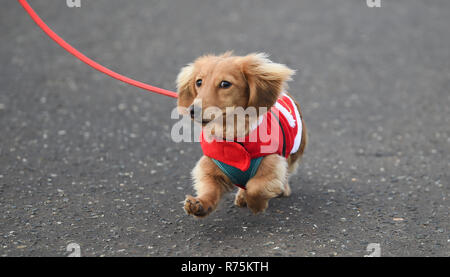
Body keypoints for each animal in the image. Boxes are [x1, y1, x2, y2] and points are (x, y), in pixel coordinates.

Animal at [176, 51, 306, 216]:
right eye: (199, 82)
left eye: (225, 84)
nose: (192, 110)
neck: (234, 136)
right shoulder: (209, 167)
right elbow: (209, 190)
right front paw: (198, 204)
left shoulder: (272, 164)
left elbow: (256, 187)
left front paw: (256, 205)